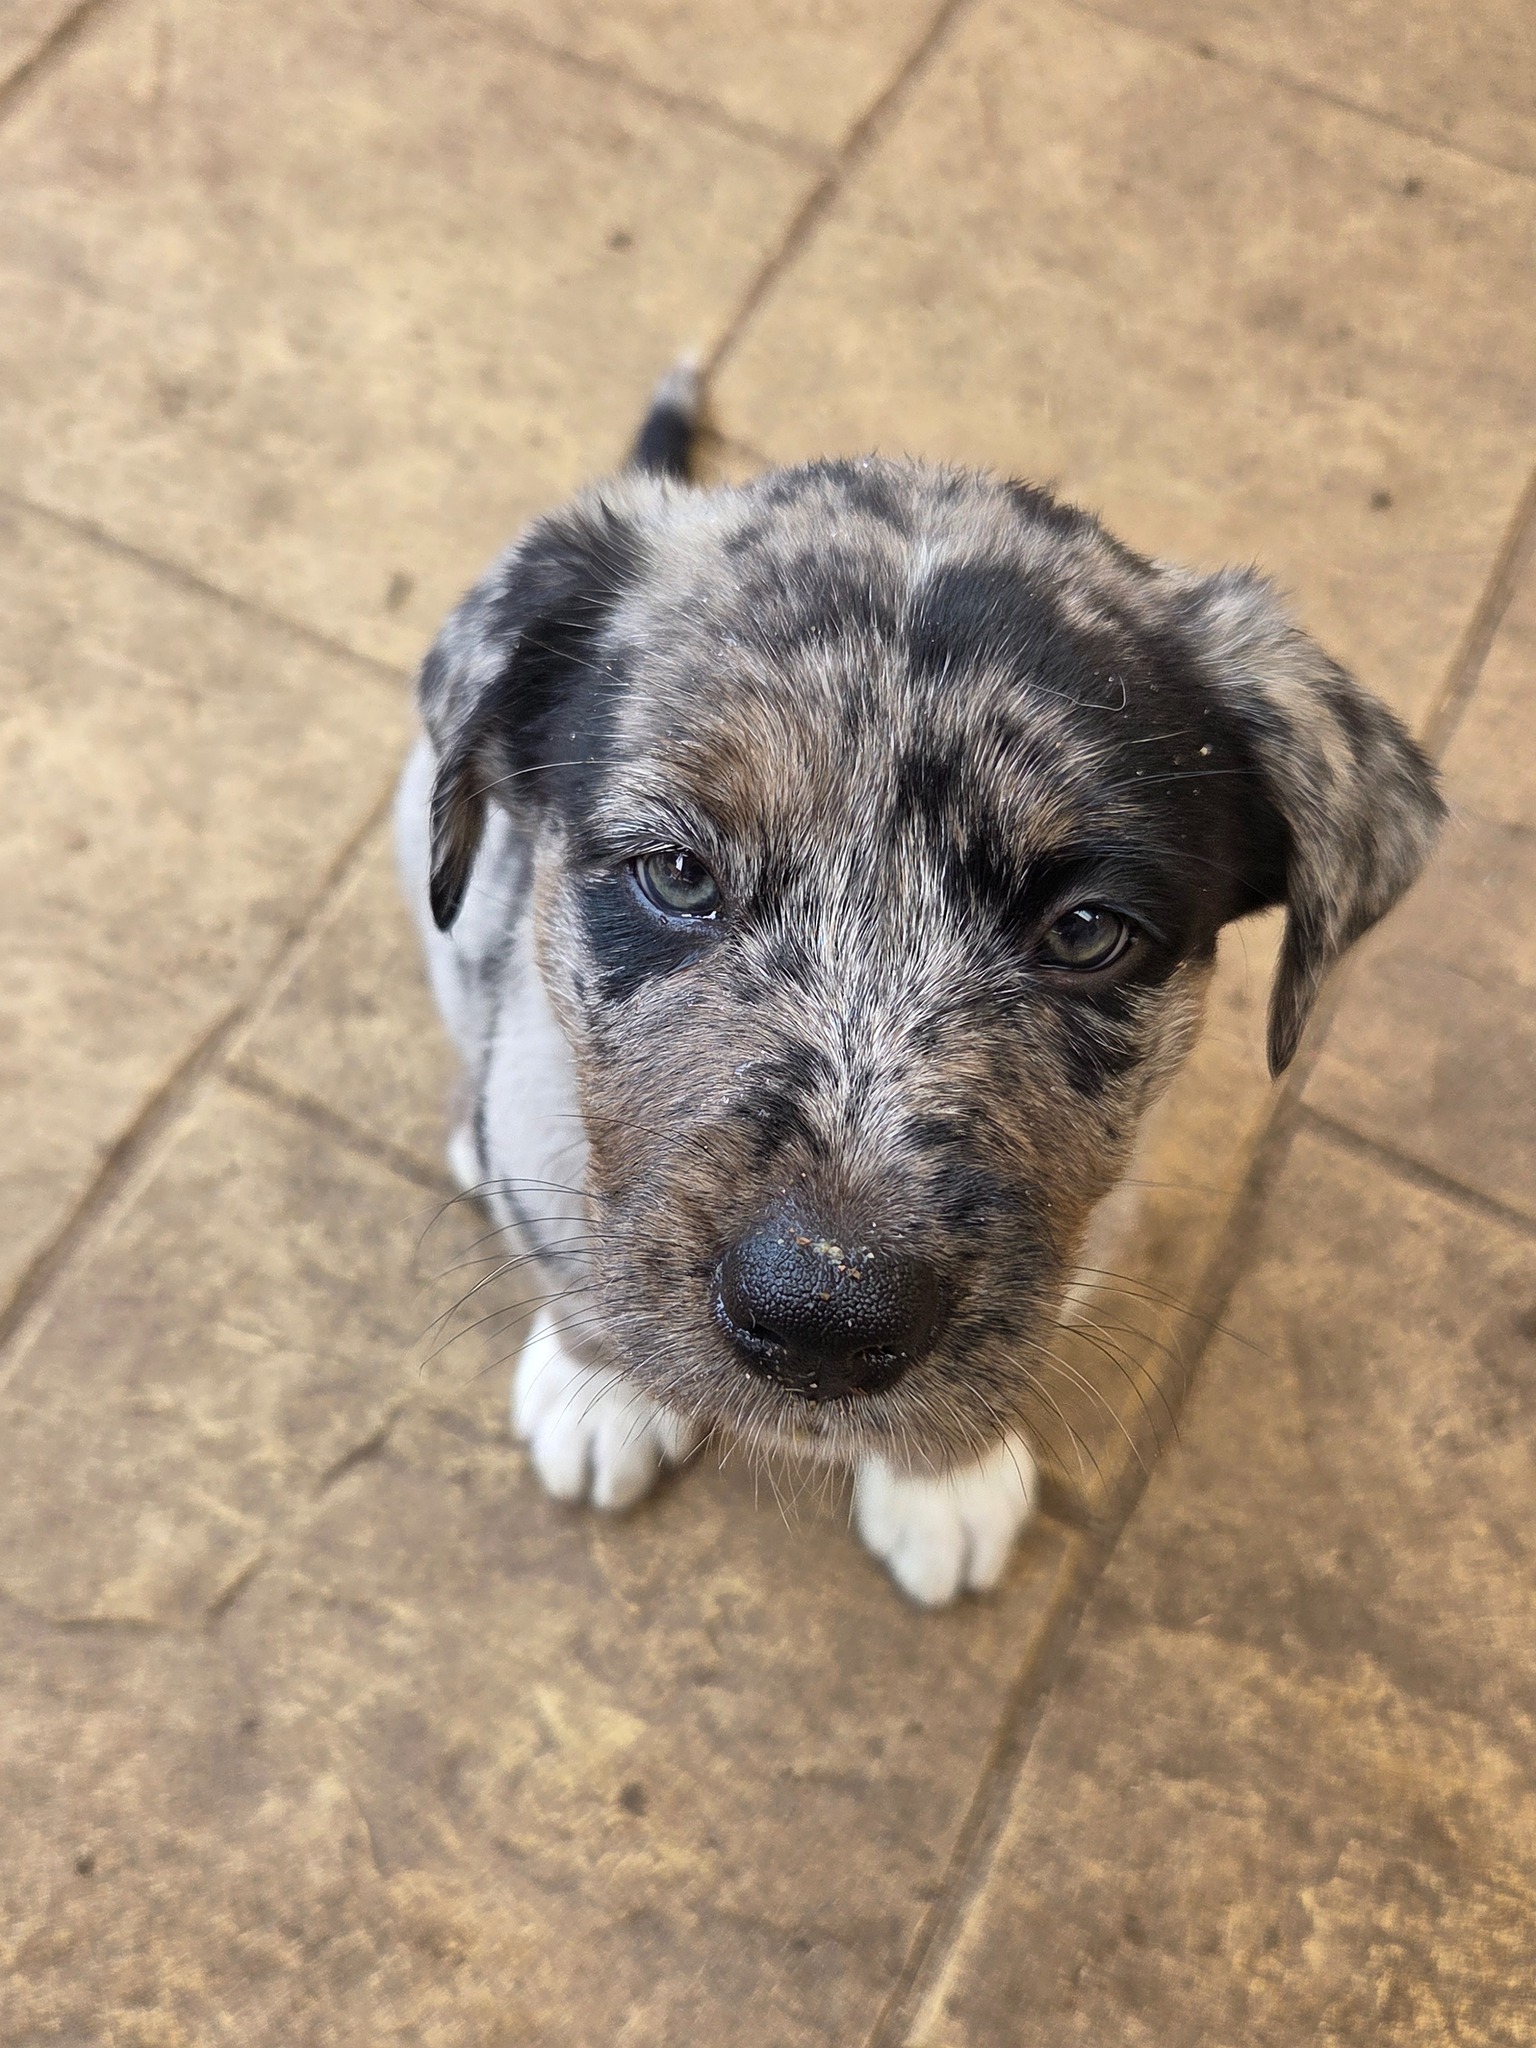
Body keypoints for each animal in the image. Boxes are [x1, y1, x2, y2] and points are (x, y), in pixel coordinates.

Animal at [395, 367, 1443, 1605]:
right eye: (679, 872)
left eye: (1089, 931)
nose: (823, 1318)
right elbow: (575, 1264)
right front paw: (598, 1386)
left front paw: (948, 1477)